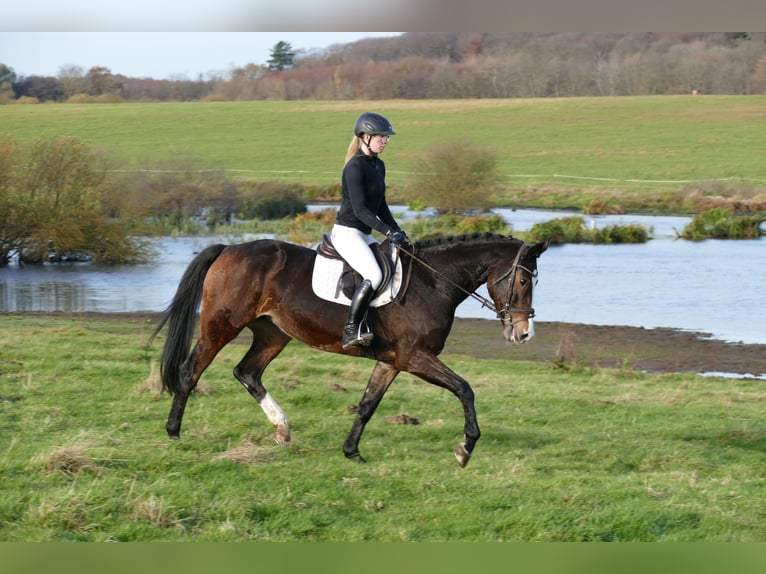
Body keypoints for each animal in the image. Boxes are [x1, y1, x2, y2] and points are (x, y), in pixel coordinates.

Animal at [151, 233, 549, 467]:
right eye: (523, 279)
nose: (524, 333)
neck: (432, 281)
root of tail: (229, 249)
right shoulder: (416, 357)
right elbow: (465, 389)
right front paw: (466, 449)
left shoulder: (393, 362)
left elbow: (368, 405)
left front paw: (351, 452)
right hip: (222, 326)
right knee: (191, 370)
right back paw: (173, 432)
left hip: (273, 333)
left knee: (247, 371)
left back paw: (282, 429)